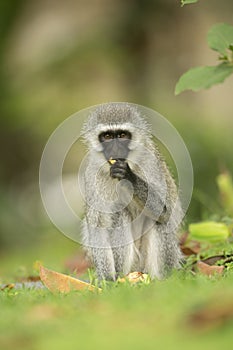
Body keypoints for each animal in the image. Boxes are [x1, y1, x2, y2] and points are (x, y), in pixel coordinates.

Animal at [81, 102, 183, 280]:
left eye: (122, 135)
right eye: (107, 136)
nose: (115, 149)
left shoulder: (150, 162)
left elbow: (163, 210)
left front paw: (129, 175)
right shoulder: (92, 174)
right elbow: (98, 225)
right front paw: (106, 280)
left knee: (159, 220)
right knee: (119, 213)